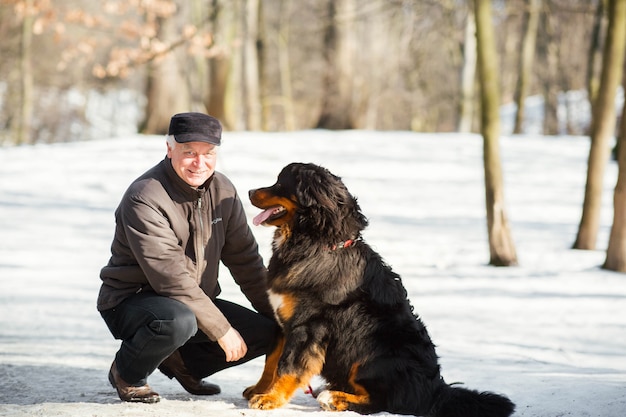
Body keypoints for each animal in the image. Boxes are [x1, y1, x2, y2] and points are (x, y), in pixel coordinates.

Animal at [244, 162, 512, 416]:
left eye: (280, 183)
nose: (249, 191)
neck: (315, 244)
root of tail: (437, 390)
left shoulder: (307, 326)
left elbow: (287, 366)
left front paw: (271, 398)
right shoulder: (283, 321)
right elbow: (271, 361)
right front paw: (260, 389)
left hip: (373, 356)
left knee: (383, 401)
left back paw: (334, 398)